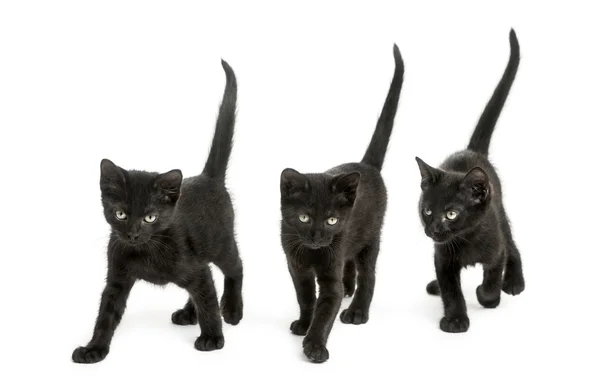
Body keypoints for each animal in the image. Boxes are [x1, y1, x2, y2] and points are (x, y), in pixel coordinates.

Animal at [74, 61, 243, 364]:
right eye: (120, 214)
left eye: (150, 217)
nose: (132, 234)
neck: (146, 250)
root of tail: (208, 178)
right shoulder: (117, 277)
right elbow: (106, 314)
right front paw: (94, 349)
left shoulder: (193, 265)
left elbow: (209, 301)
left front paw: (213, 338)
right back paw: (188, 313)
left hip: (221, 243)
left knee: (235, 268)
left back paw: (233, 310)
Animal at [280, 45, 404, 364]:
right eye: (304, 218)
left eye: (331, 220)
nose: (317, 236)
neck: (312, 254)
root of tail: (366, 166)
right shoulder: (295, 267)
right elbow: (305, 297)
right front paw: (303, 322)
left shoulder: (329, 271)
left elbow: (326, 309)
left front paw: (315, 345)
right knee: (350, 264)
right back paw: (349, 288)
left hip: (371, 237)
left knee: (368, 275)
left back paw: (357, 310)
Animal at [418, 30, 524, 334]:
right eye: (427, 211)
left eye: (451, 213)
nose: (433, 229)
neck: (464, 241)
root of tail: (472, 151)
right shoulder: (442, 259)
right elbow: (451, 290)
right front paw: (455, 319)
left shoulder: (495, 252)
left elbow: (491, 280)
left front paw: (486, 296)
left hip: (500, 215)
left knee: (513, 246)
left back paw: (515, 282)